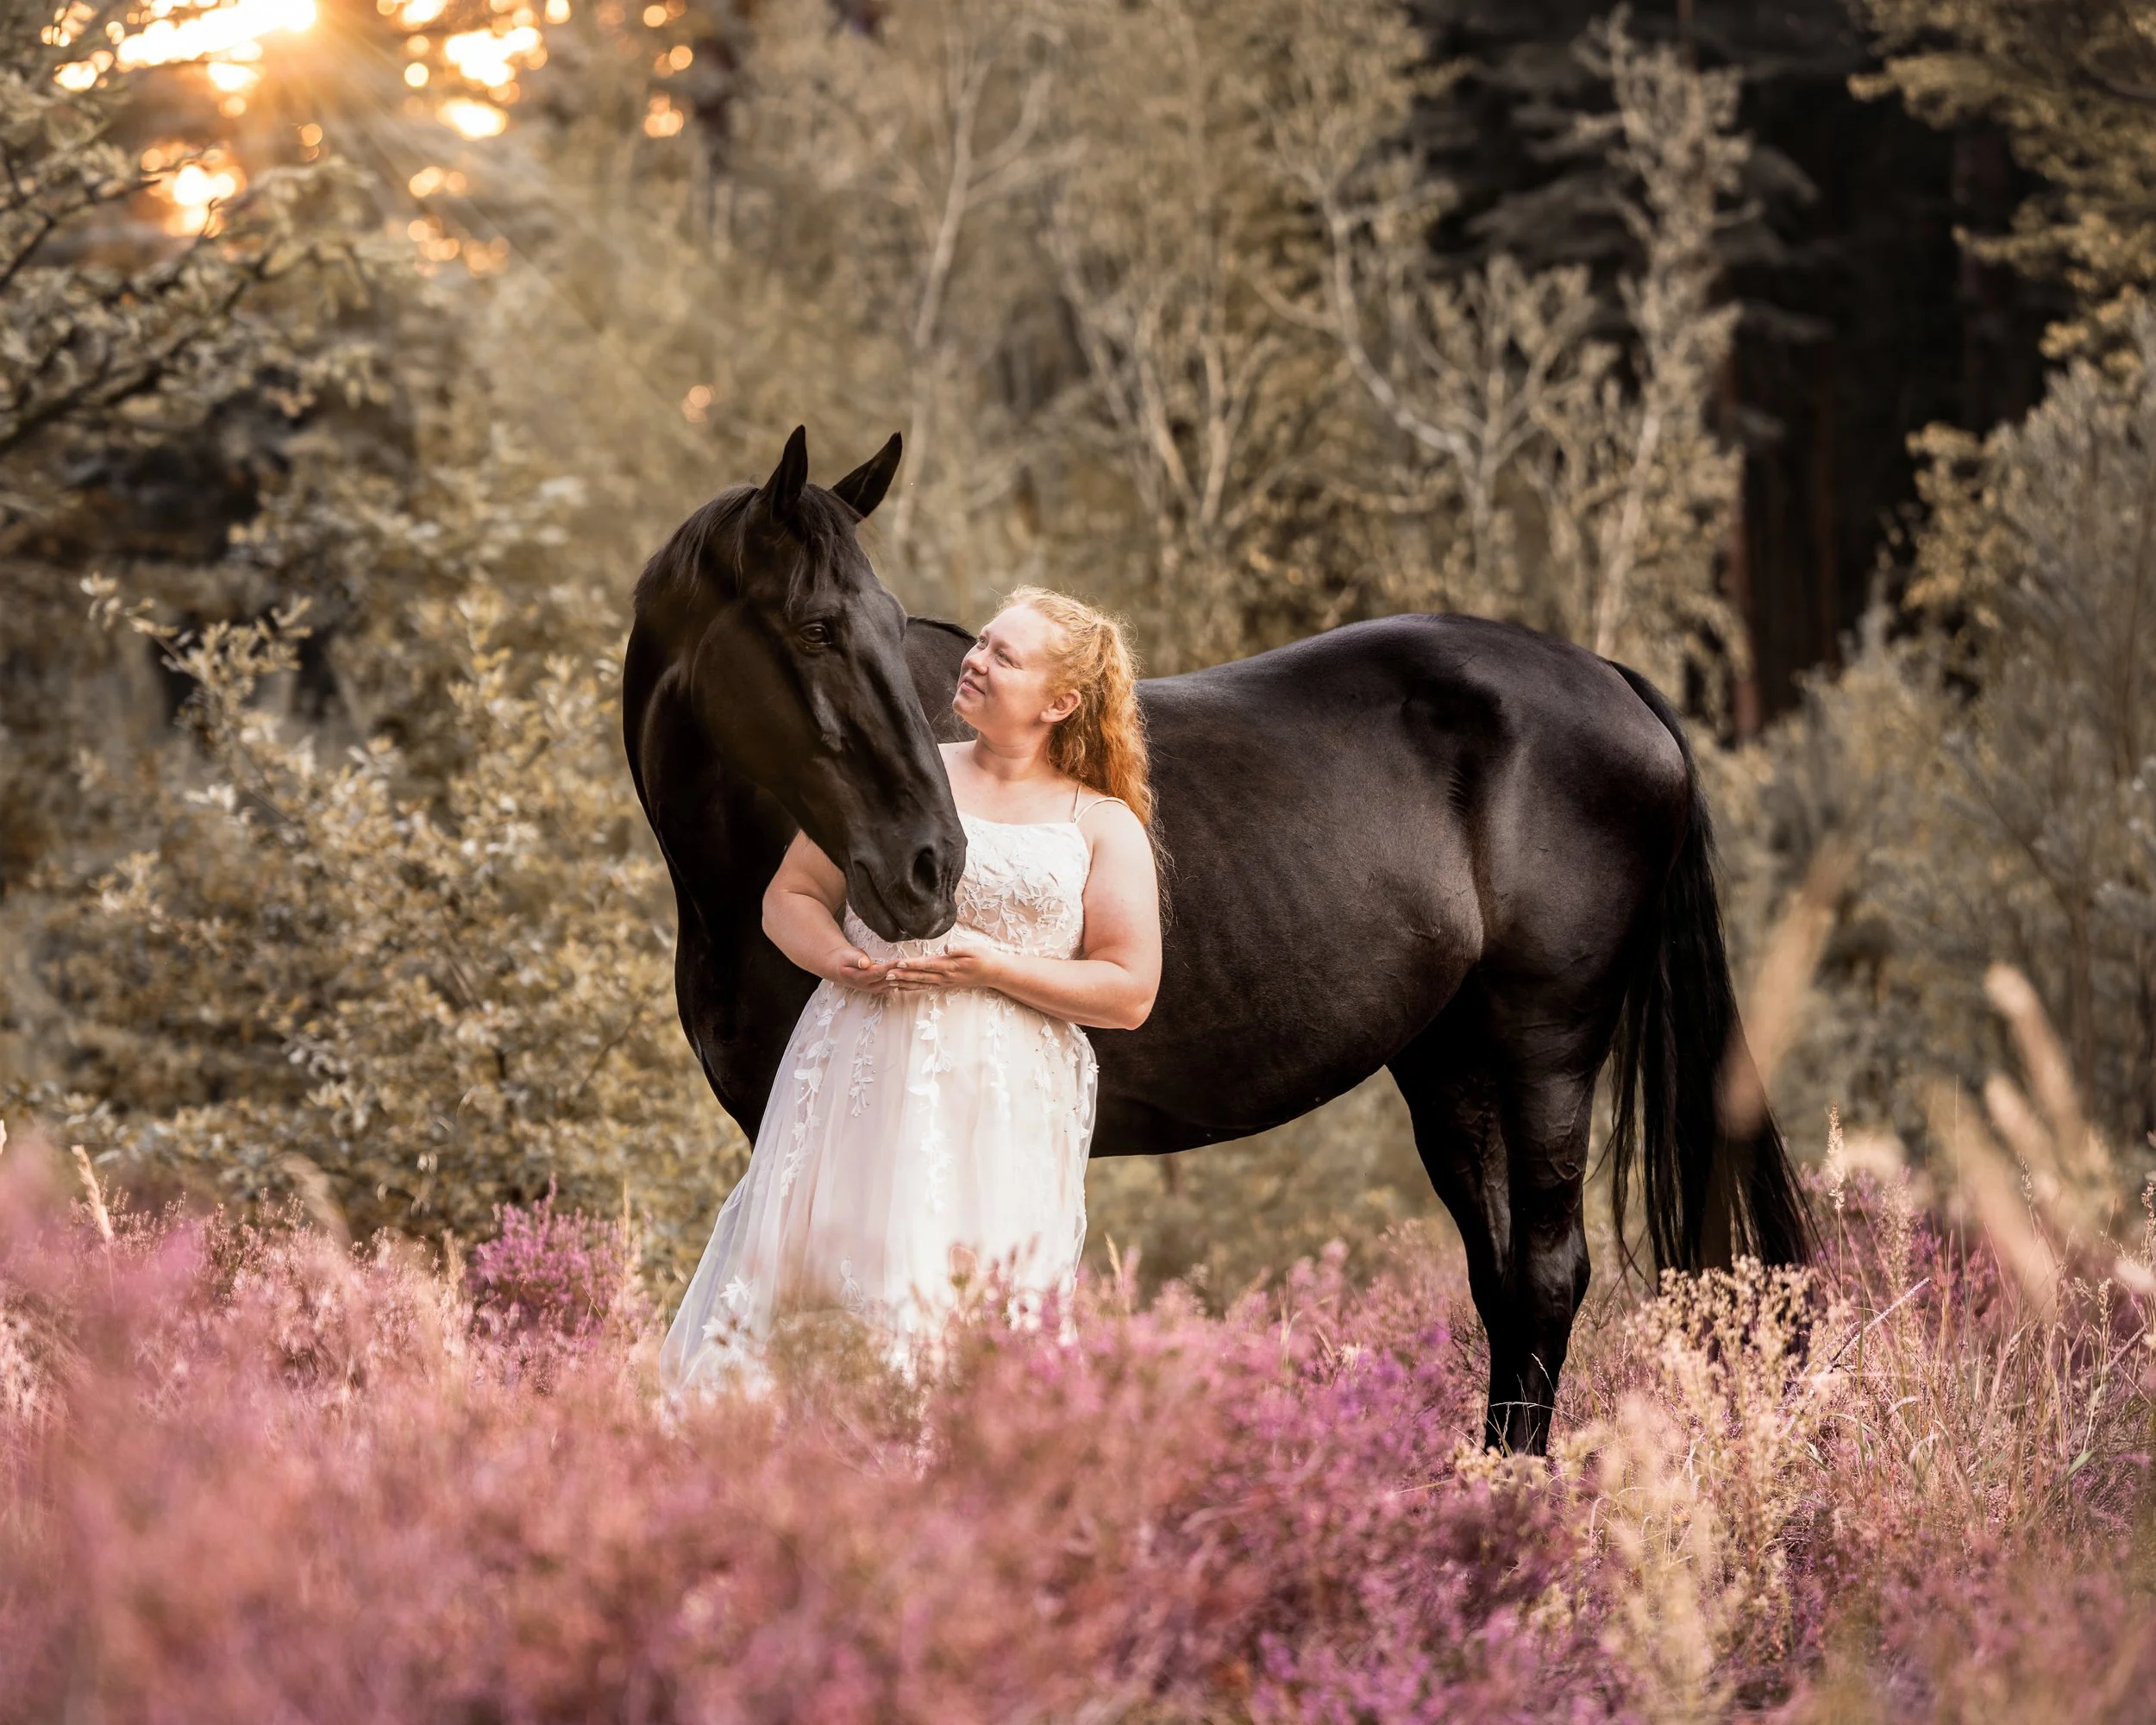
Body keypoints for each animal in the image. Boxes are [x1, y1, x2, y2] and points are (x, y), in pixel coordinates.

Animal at [622, 427, 1811, 1454]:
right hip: (1449, 1064)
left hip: (1547, 1047)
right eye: (816, 627)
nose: (929, 865)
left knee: (1550, 1271)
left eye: (879, 618)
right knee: (1502, 1276)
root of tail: (1614, 680)